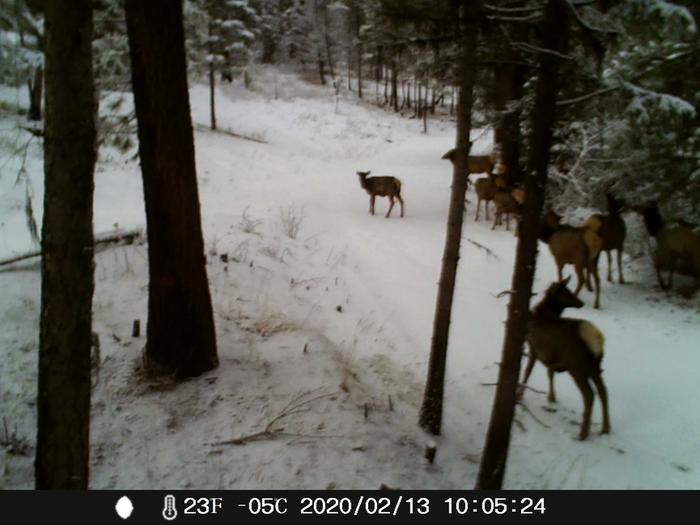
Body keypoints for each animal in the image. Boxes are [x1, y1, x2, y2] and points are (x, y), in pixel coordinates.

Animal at [520, 276, 612, 440]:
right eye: (566, 292)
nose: (580, 303)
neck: (542, 314)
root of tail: (596, 339)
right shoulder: (552, 356)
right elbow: (549, 372)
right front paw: (551, 397)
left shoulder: (533, 349)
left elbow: (527, 372)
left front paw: (519, 395)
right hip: (595, 366)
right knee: (603, 391)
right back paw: (606, 428)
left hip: (577, 366)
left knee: (589, 395)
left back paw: (583, 433)